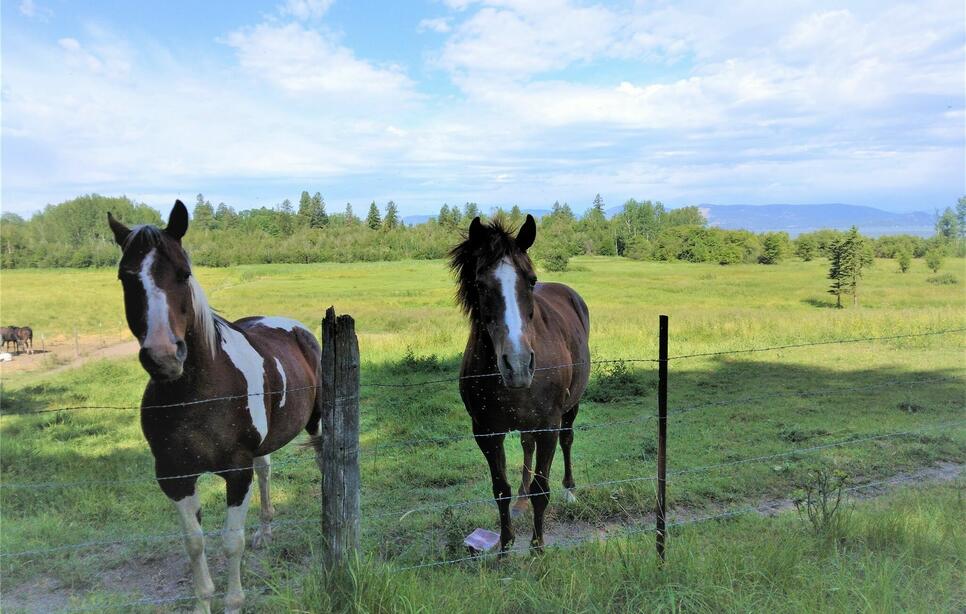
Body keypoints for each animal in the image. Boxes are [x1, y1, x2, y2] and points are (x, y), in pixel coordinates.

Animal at [108, 203, 324, 614]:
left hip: (318, 423)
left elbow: (230, 540)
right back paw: (266, 530)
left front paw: (233, 602)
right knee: (266, 471)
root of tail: (296, 328)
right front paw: (202, 601)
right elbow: (195, 543)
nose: (164, 356)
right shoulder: (174, 477)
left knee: (325, 461)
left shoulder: (236, 473)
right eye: (125, 277)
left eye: (184, 272)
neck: (199, 395)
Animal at [450, 217, 592, 552]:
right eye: (480, 284)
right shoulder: (486, 432)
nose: (517, 364)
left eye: (530, 280)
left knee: (568, 440)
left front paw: (538, 547)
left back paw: (570, 491)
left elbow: (543, 487)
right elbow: (501, 488)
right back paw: (522, 500)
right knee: (527, 446)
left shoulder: (549, 425)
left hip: (570, 408)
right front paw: (504, 545)